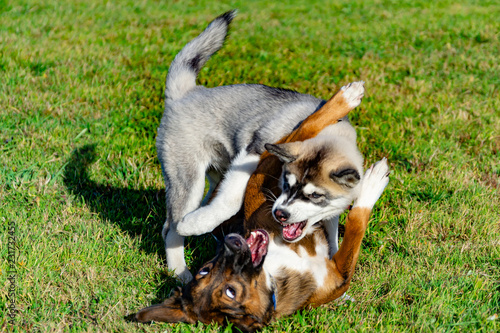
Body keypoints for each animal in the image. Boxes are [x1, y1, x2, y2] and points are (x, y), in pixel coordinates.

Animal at [158, 9, 354, 280]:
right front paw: (194, 225)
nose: (280, 214)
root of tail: (187, 92)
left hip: (215, 176)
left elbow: (332, 231)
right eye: (286, 184)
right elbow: (230, 201)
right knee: (172, 228)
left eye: (316, 196)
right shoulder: (254, 151)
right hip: (188, 179)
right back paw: (180, 268)